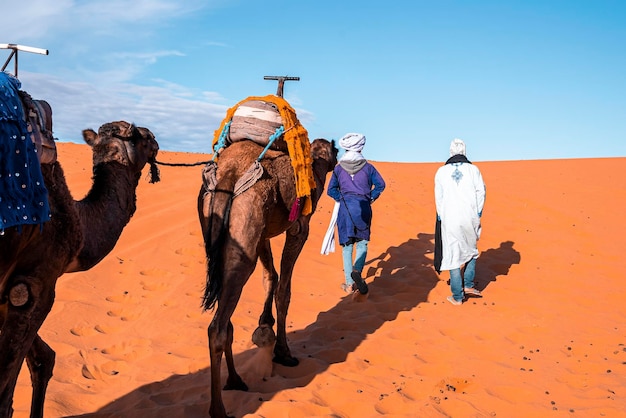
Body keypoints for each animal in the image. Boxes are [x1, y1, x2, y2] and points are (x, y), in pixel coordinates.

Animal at [199, 139, 338, 416]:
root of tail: (229, 173)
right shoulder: (299, 228)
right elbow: (284, 289)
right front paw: (283, 352)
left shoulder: (262, 234)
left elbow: (270, 276)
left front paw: (265, 323)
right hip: (245, 226)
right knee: (217, 327)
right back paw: (218, 408)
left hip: (219, 232)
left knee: (226, 318)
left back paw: (236, 380)